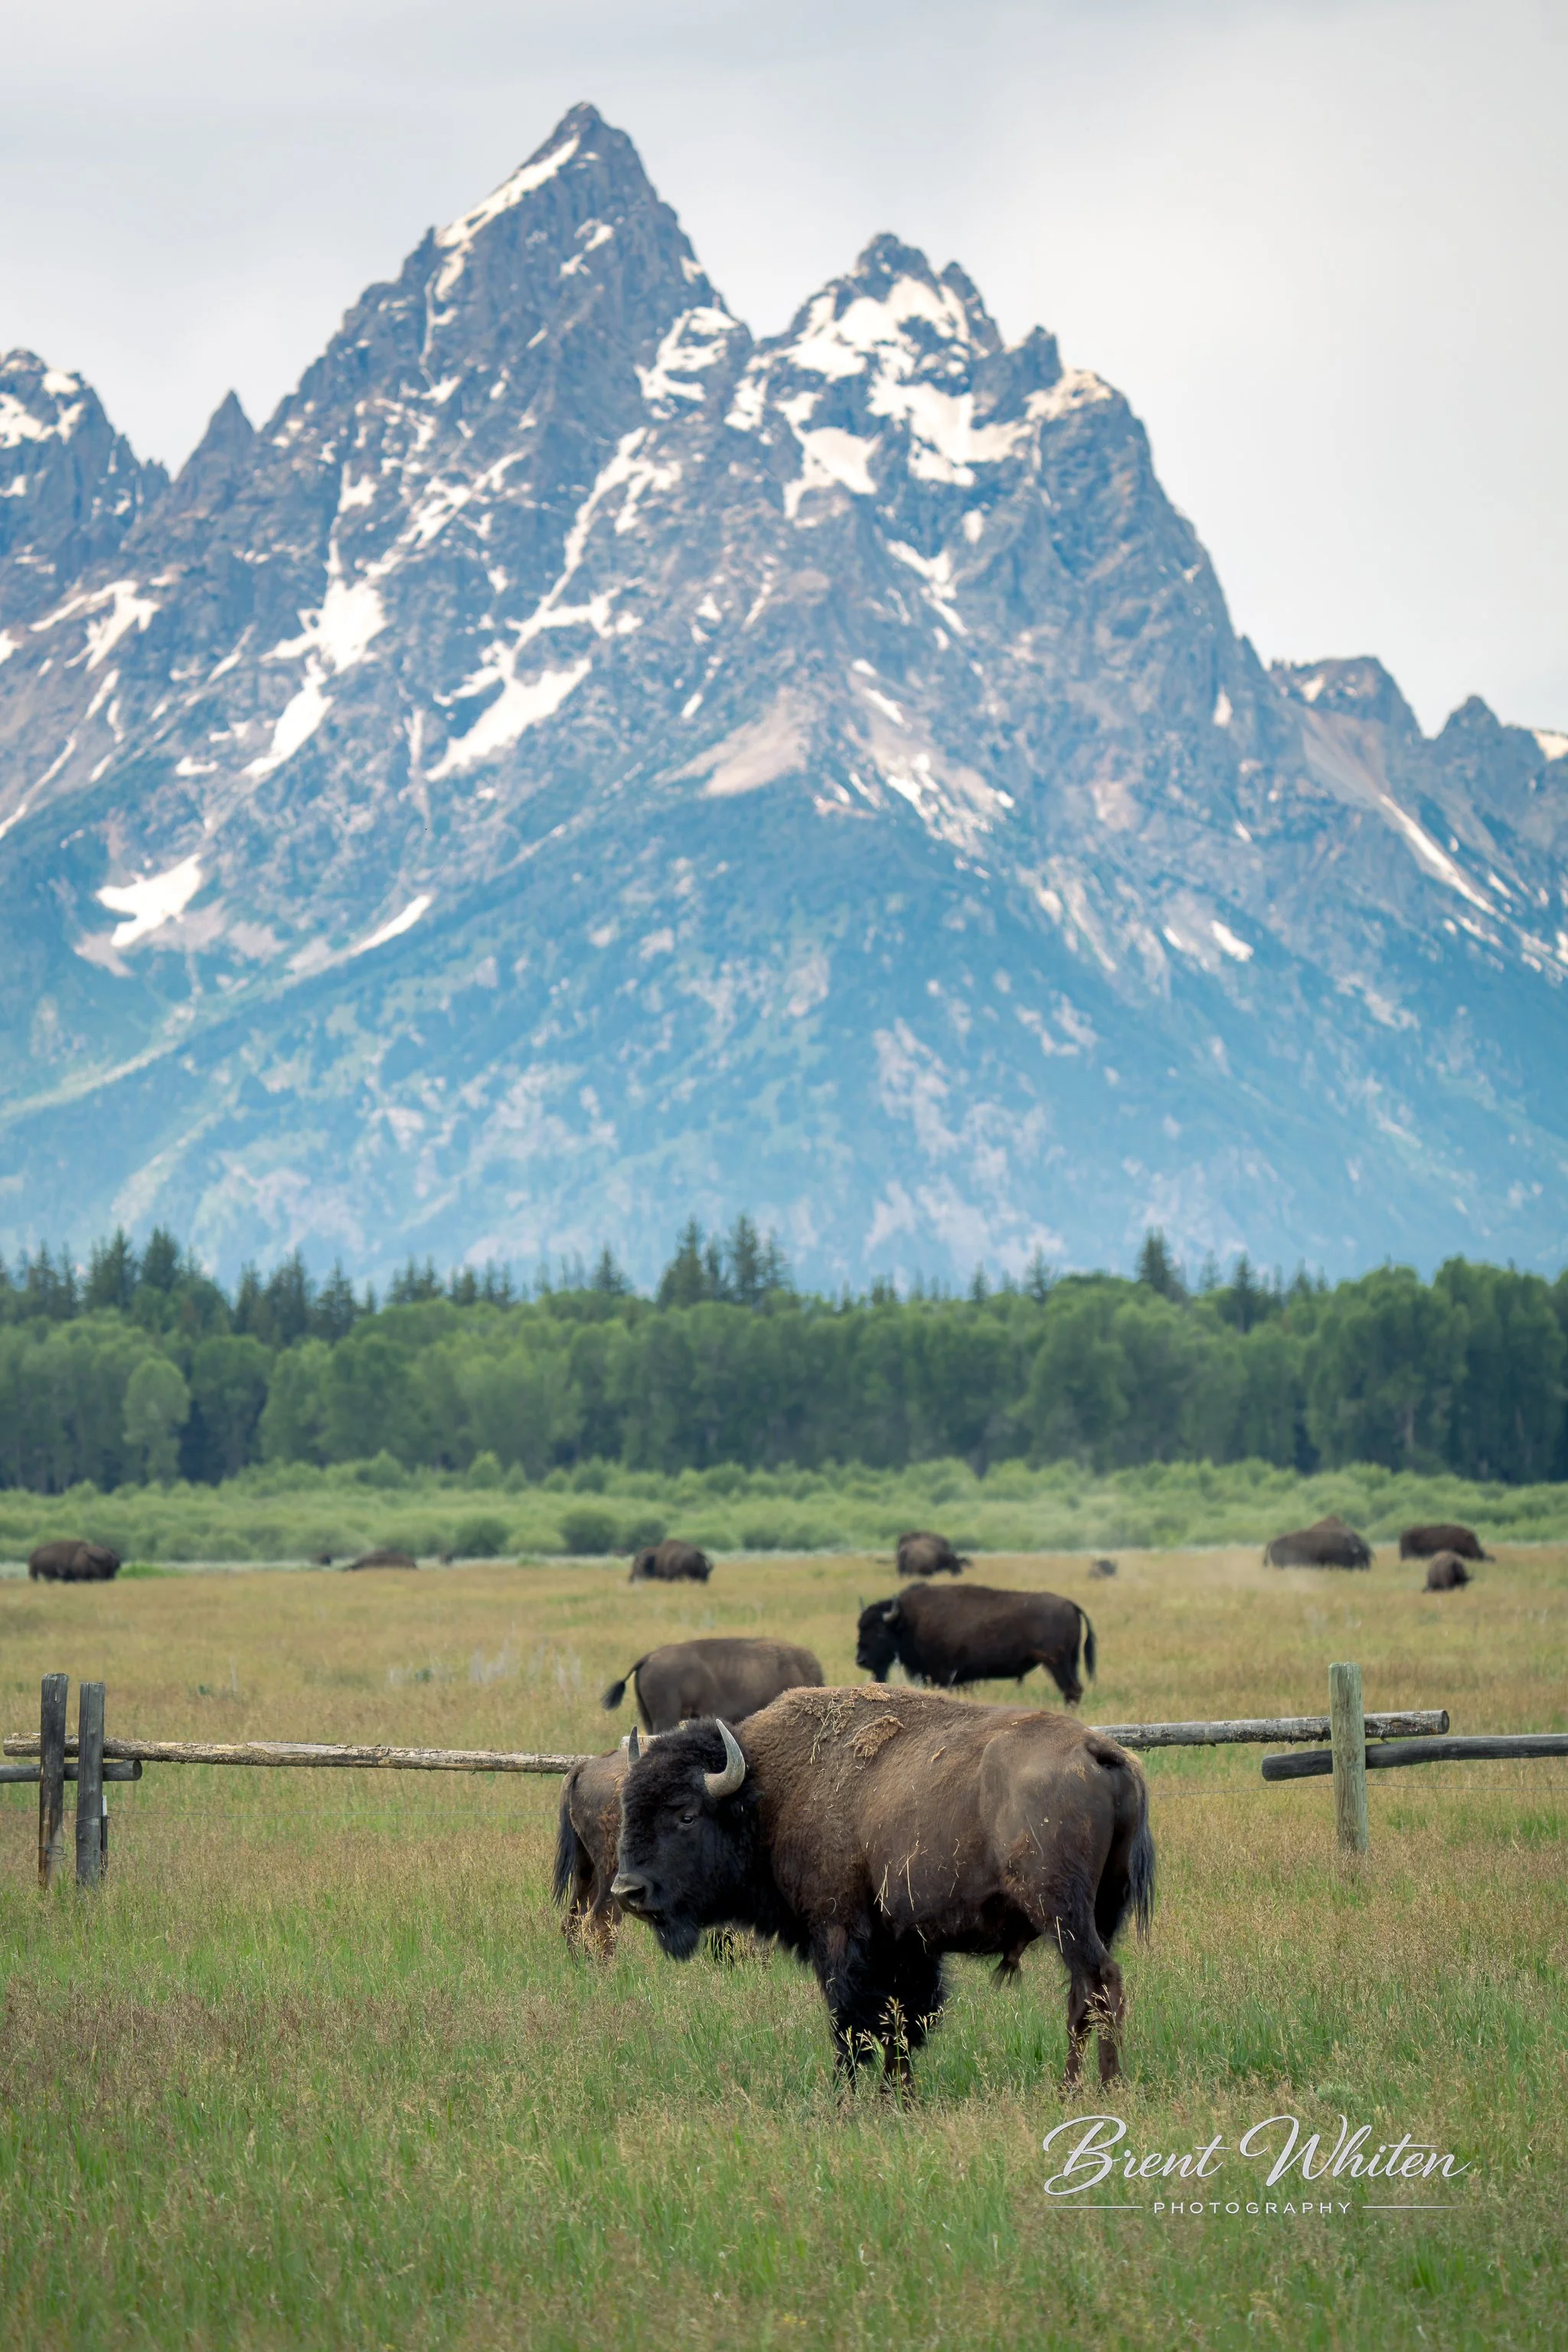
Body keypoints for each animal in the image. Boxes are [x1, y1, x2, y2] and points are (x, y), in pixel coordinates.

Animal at [612, 1684, 1154, 2086]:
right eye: (628, 1807)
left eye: (686, 1814)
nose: (628, 1891)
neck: (772, 1793)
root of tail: (1096, 1749)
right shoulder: (905, 1946)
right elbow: (902, 2024)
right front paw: (898, 2096)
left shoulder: (838, 1933)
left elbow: (851, 2024)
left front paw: (842, 2100)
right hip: (1099, 1914)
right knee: (1084, 1994)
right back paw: (1073, 2089)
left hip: (1062, 1913)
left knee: (1100, 1983)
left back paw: (1096, 2089)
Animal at [857, 1582, 1096, 1705]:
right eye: (860, 1627)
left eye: (879, 1631)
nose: (861, 1660)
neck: (909, 1621)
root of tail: (1070, 1604)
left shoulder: (945, 1675)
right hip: (1070, 1661)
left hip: (1055, 1662)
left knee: (1071, 1689)